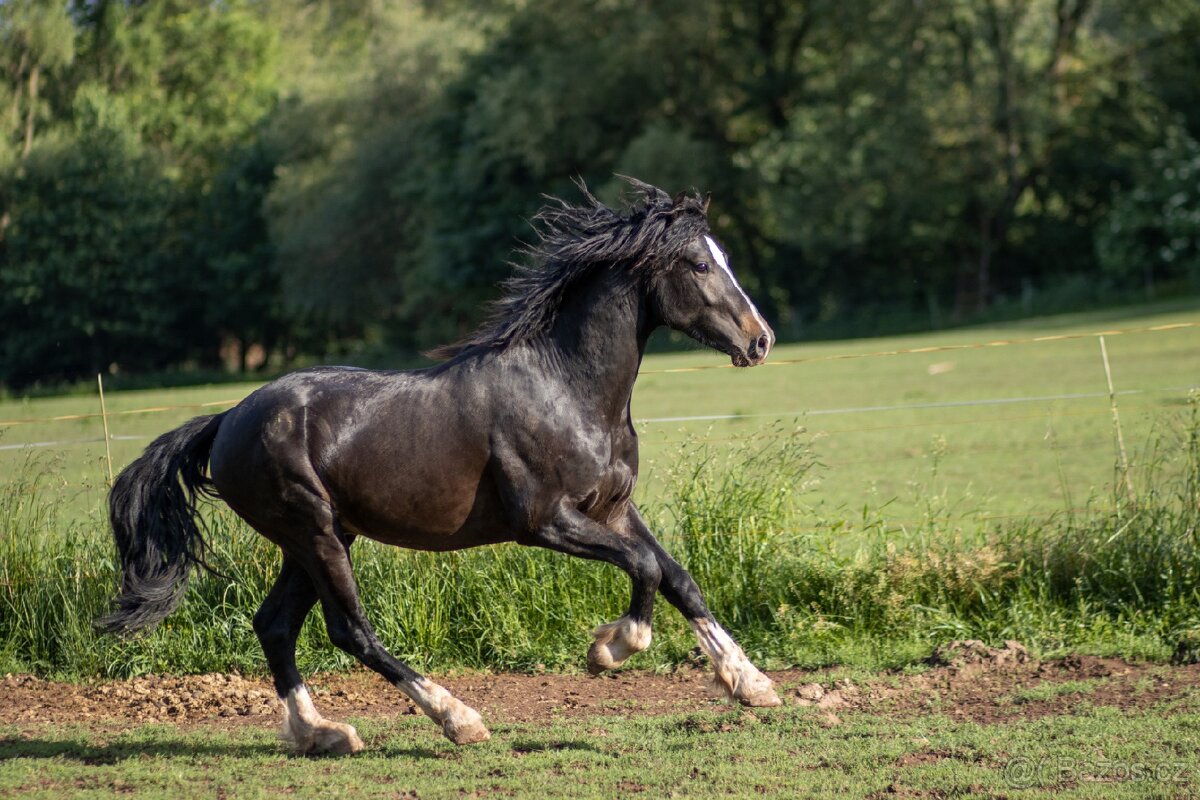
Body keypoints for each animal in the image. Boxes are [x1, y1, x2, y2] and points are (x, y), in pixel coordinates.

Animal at [96, 178, 777, 753]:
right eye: (699, 264)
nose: (761, 339)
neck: (566, 389)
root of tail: (227, 419)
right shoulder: (545, 522)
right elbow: (644, 568)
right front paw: (608, 650)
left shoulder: (611, 508)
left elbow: (676, 576)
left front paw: (750, 683)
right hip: (313, 531)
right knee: (350, 630)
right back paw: (458, 718)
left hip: (313, 538)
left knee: (275, 626)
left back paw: (322, 734)